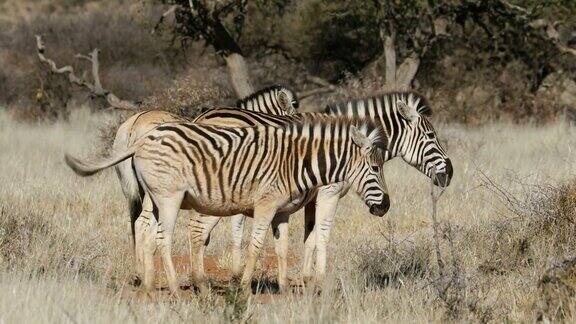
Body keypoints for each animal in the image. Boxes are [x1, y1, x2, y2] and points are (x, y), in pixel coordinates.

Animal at [65, 116, 390, 294]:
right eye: (375, 169)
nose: (386, 207)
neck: (296, 163)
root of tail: (142, 139)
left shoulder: (282, 212)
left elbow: (283, 248)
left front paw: (285, 287)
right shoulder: (266, 205)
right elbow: (256, 246)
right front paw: (245, 285)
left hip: (154, 198)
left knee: (147, 229)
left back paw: (149, 284)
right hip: (169, 198)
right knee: (164, 238)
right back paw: (174, 288)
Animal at [113, 86, 302, 280]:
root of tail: (134, 124)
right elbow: (235, 227)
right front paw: (234, 272)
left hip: (138, 188)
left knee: (139, 223)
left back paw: (141, 272)